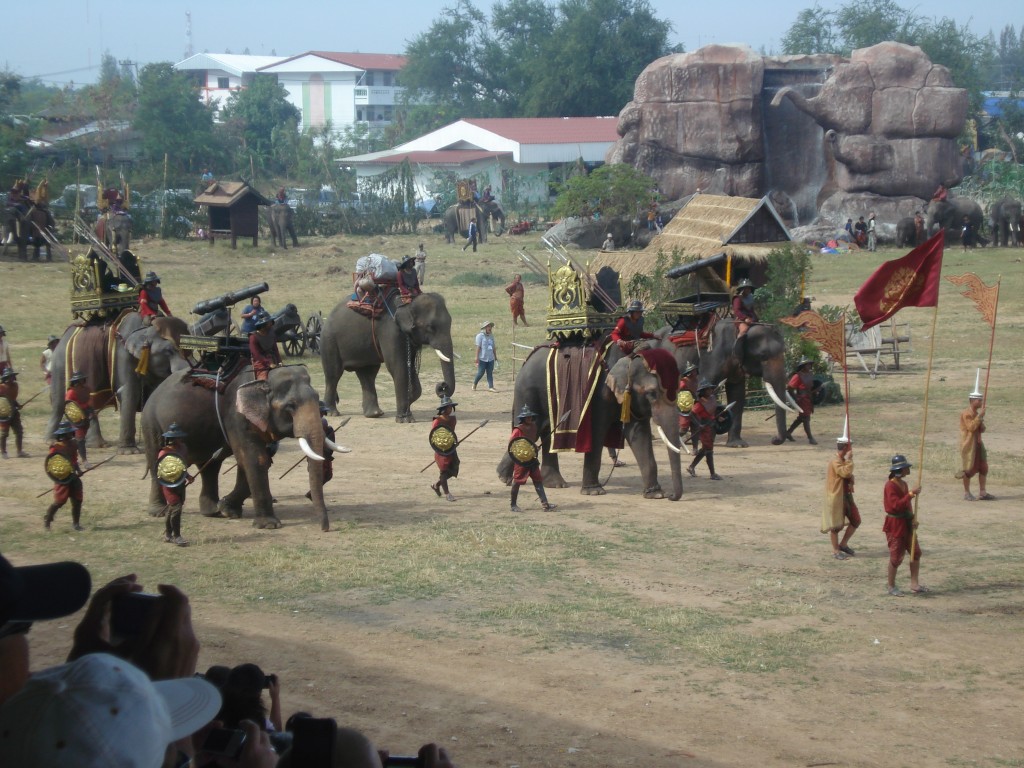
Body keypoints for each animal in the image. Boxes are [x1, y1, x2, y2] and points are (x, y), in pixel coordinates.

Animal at [48, 315, 192, 454]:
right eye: (169, 351)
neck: (143, 327)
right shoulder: (122, 355)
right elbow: (129, 391)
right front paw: (129, 451)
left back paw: (95, 444)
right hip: (60, 363)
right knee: (59, 400)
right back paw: (52, 440)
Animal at [139, 366, 331, 528]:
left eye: (317, 398)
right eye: (290, 406)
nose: (324, 528)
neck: (263, 379)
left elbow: (253, 460)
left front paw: (227, 509)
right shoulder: (237, 416)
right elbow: (254, 458)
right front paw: (269, 525)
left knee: (211, 466)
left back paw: (213, 511)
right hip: (151, 423)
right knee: (157, 459)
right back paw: (158, 511)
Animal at [321, 292, 458, 423]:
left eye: (450, 322)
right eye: (430, 327)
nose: (442, 386)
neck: (408, 301)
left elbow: (409, 366)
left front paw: (409, 400)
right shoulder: (390, 331)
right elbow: (397, 366)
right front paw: (405, 420)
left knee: (368, 373)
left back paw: (374, 414)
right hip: (329, 340)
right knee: (333, 374)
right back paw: (332, 413)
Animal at [497, 346, 684, 501]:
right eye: (652, 393)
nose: (671, 496)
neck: (628, 356)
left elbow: (639, 434)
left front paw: (655, 494)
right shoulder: (599, 395)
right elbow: (596, 432)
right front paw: (594, 492)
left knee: (545, 432)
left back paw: (554, 484)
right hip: (528, 392)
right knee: (530, 430)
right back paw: (504, 478)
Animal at [651, 319, 786, 450]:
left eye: (784, 352)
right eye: (763, 355)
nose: (774, 439)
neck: (741, 328)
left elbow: (737, 395)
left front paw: (737, 444)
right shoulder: (712, 358)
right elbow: (706, 391)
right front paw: (708, 439)